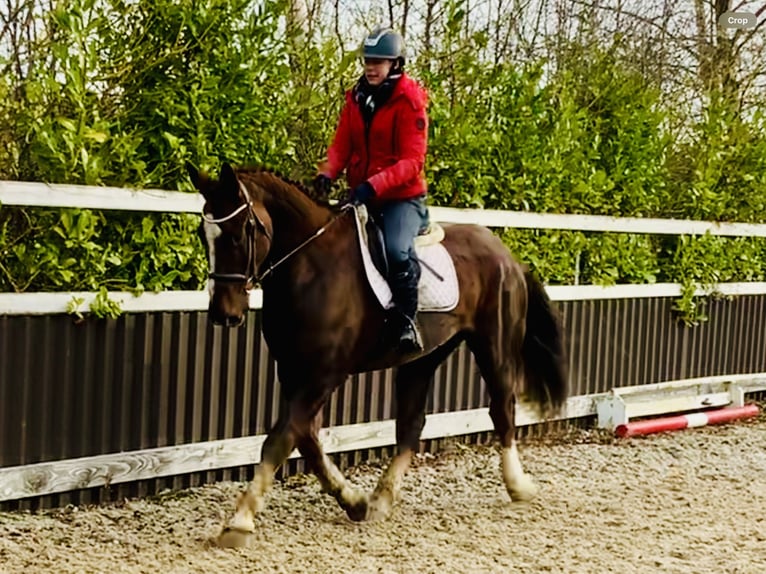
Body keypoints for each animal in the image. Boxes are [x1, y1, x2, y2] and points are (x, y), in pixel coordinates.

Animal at [188, 162, 568, 548]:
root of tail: (507, 255)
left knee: (502, 409)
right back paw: (381, 499)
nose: (223, 313)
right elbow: (306, 439)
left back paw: (518, 486)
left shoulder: (323, 374)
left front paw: (239, 521)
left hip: (495, 346)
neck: (310, 266)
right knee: (411, 424)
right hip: (423, 358)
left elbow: (280, 439)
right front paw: (353, 501)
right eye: (204, 235)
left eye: (239, 233)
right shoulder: (294, 371)